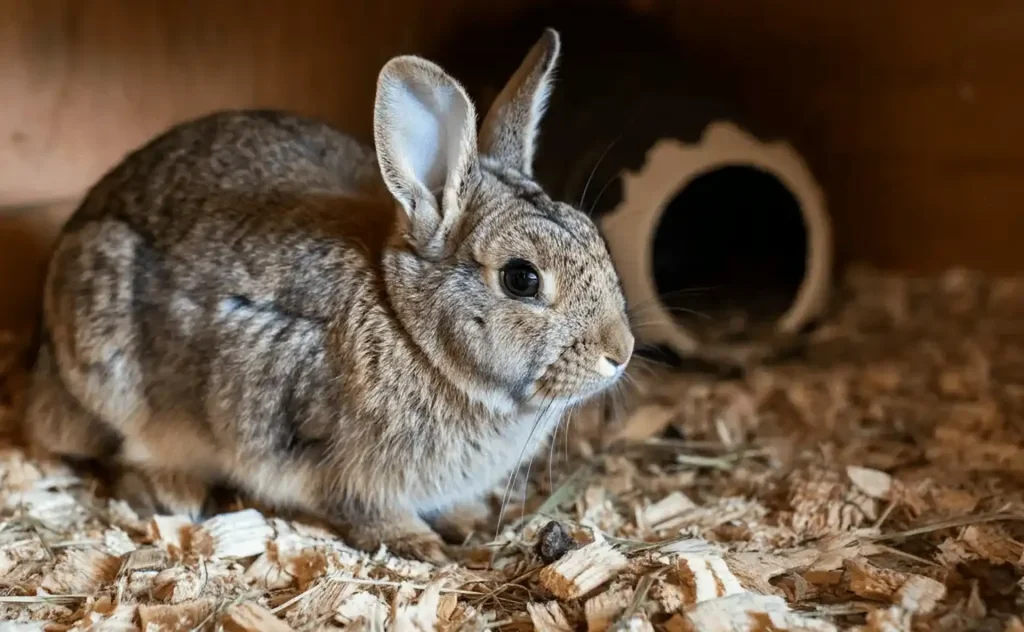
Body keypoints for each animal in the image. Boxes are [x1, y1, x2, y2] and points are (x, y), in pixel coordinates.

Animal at [22, 28, 630, 561]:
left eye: (594, 235)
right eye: (521, 279)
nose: (619, 353)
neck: (409, 328)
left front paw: (469, 520)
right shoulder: (335, 463)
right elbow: (363, 508)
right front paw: (420, 544)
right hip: (109, 371)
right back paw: (174, 491)